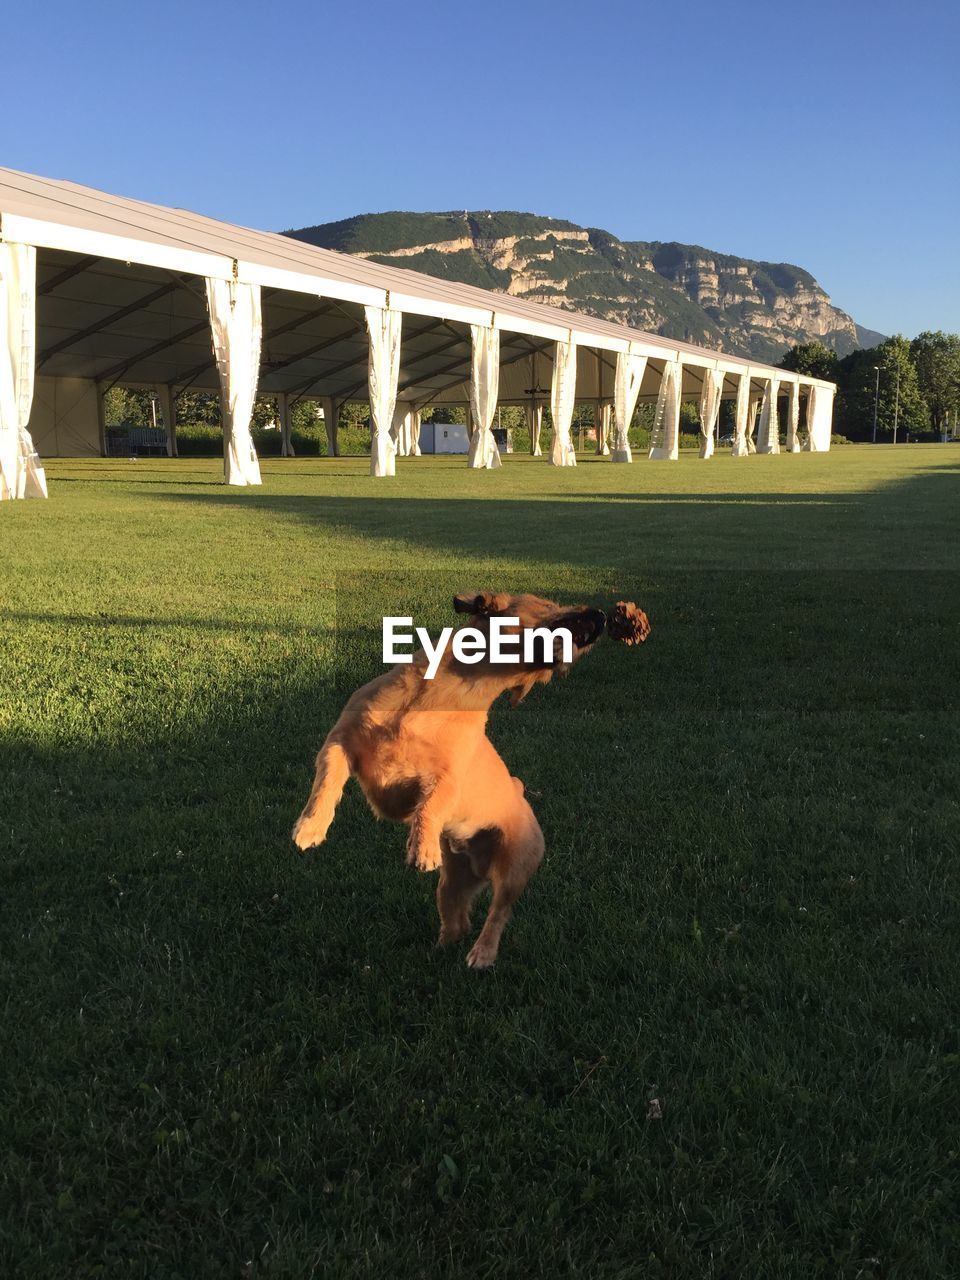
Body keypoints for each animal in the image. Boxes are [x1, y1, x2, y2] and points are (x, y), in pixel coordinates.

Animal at [293, 593, 609, 962]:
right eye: (547, 603)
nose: (602, 616)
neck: (453, 692)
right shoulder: (340, 741)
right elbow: (326, 782)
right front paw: (310, 827)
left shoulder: (444, 780)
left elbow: (431, 803)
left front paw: (422, 846)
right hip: (451, 885)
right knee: (458, 923)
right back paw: (437, 952)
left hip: (512, 873)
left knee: (498, 914)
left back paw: (482, 954)